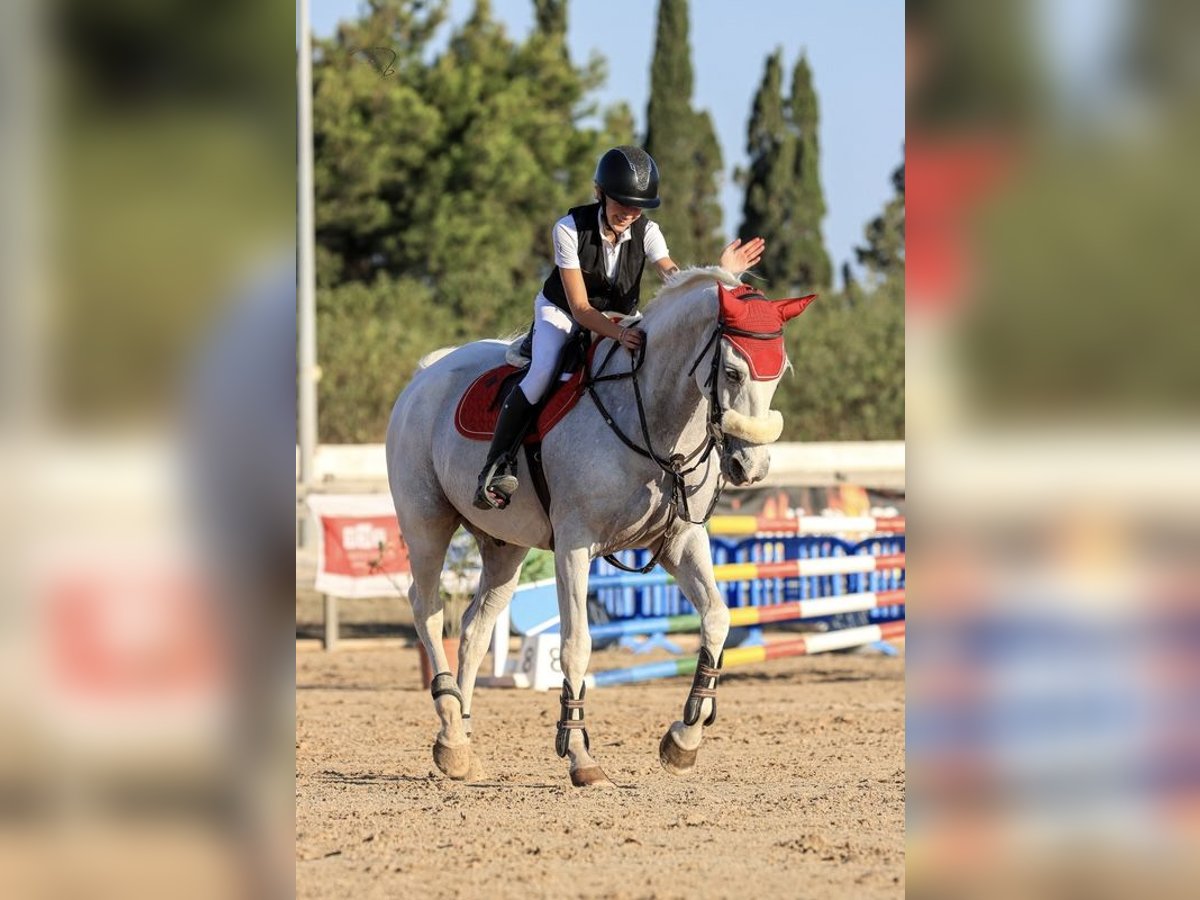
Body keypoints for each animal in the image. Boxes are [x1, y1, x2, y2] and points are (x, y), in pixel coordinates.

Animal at [384, 267, 816, 787]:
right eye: (732, 372)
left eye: (780, 373)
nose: (750, 467)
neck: (654, 416)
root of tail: (427, 372)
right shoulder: (575, 548)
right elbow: (576, 646)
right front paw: (580, 756)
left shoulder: (681, 541)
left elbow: (717, 618)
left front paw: (683, 741)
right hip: (426, 522)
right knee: (427, 609)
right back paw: (450, 730)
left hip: (505, 545)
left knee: (474, 626)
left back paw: (460, 746)